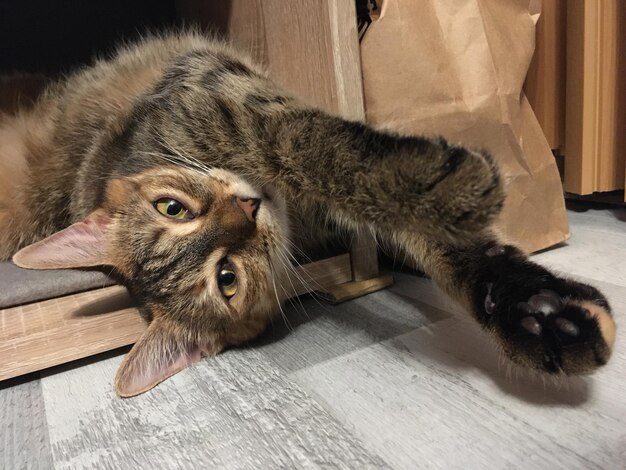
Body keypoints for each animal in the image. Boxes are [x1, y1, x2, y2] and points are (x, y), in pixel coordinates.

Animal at [0, 31, 616, 396]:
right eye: (227, 278)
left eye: (171, 207)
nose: (248, 208)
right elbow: (317, 152)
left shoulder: (206, 87)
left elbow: (305, 145)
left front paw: (529, 305)